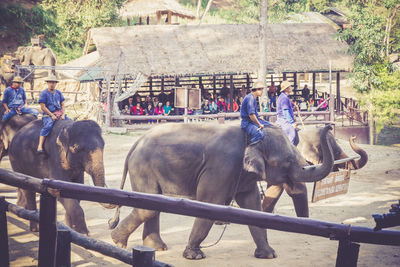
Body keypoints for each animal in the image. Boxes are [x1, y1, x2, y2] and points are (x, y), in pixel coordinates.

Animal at [108, 123, 334, 260]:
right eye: (287, 161)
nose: (329, 126)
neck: (252, 136)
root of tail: (136, 142)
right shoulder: (222, 166)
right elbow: (210, 205)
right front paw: (194, 256)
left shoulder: (242, 175)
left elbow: (252, 207)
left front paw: (268, 255)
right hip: (143, 168)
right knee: (149, 206)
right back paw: (118, 241)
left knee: (153, 205)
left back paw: (155, 248)